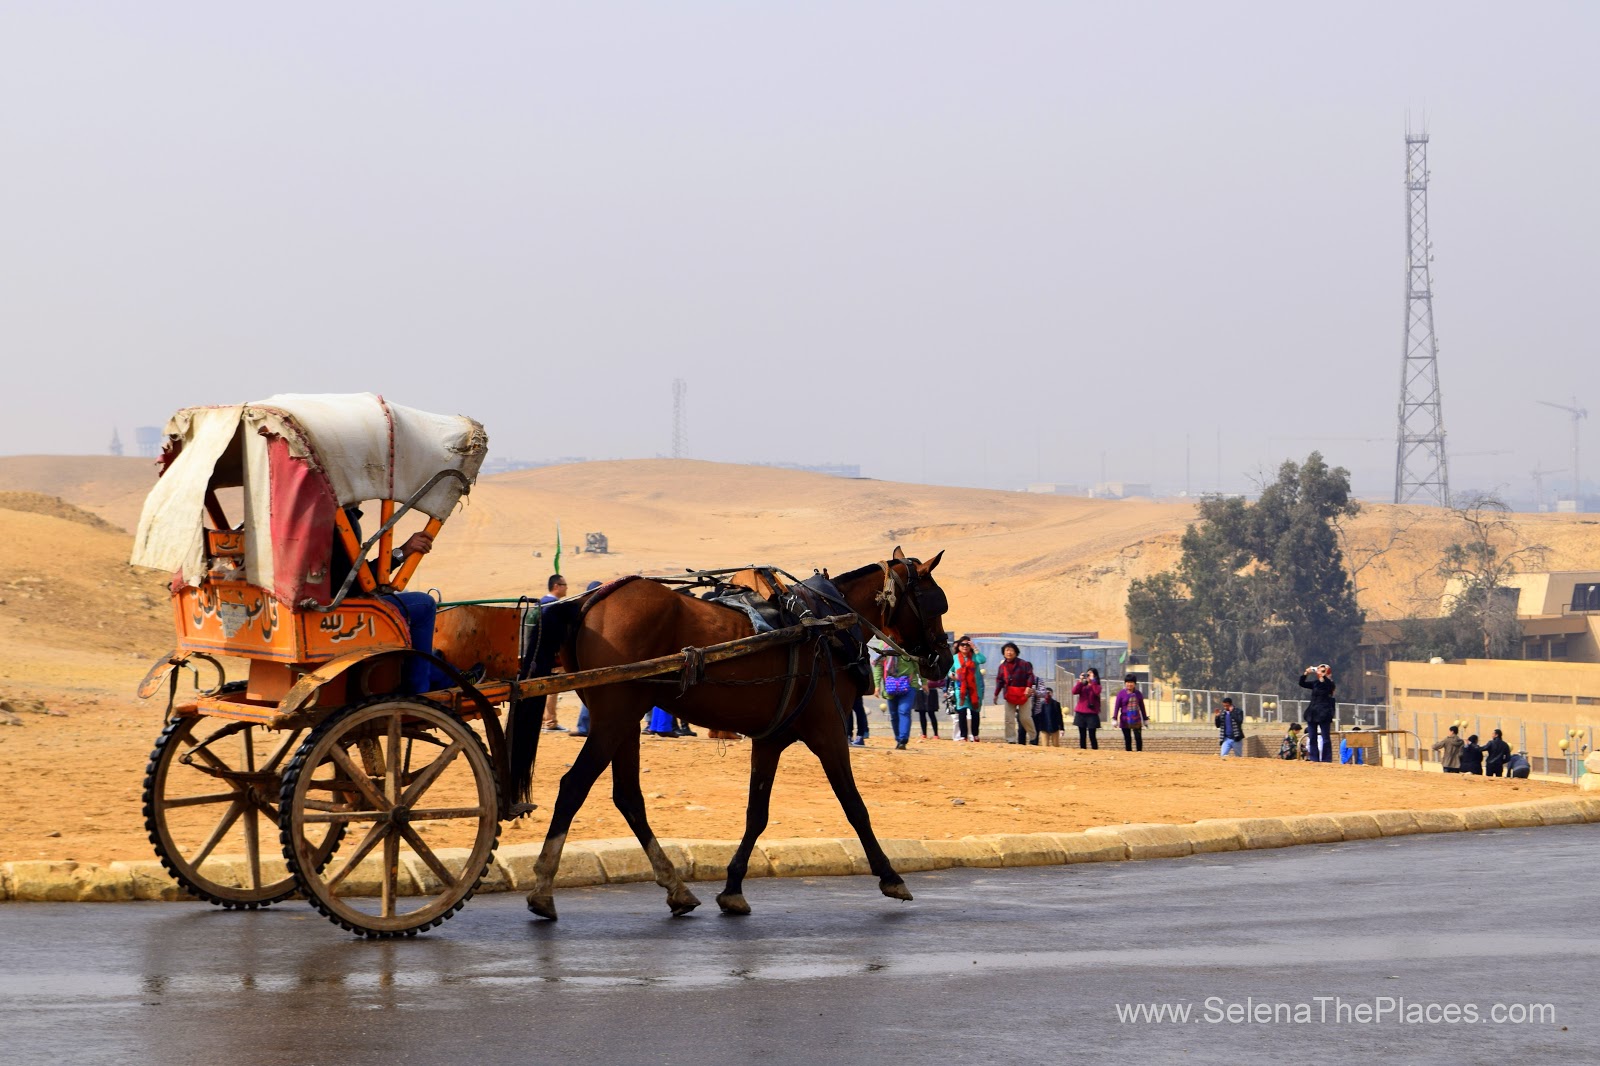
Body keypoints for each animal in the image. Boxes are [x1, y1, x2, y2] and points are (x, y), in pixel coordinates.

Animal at [515, 547, 947, 915]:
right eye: (936, 604)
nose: (941, 661)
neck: (827, 624)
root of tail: (590, 601)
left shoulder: (771, 739)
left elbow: (757, 813)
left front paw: (733, 888)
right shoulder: (829, 732)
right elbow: (855, 807)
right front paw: (890, 876)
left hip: (623, 720)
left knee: (628, 797)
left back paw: (676, 887)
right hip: (615, 716)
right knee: (574, 785)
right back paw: (542, 888)